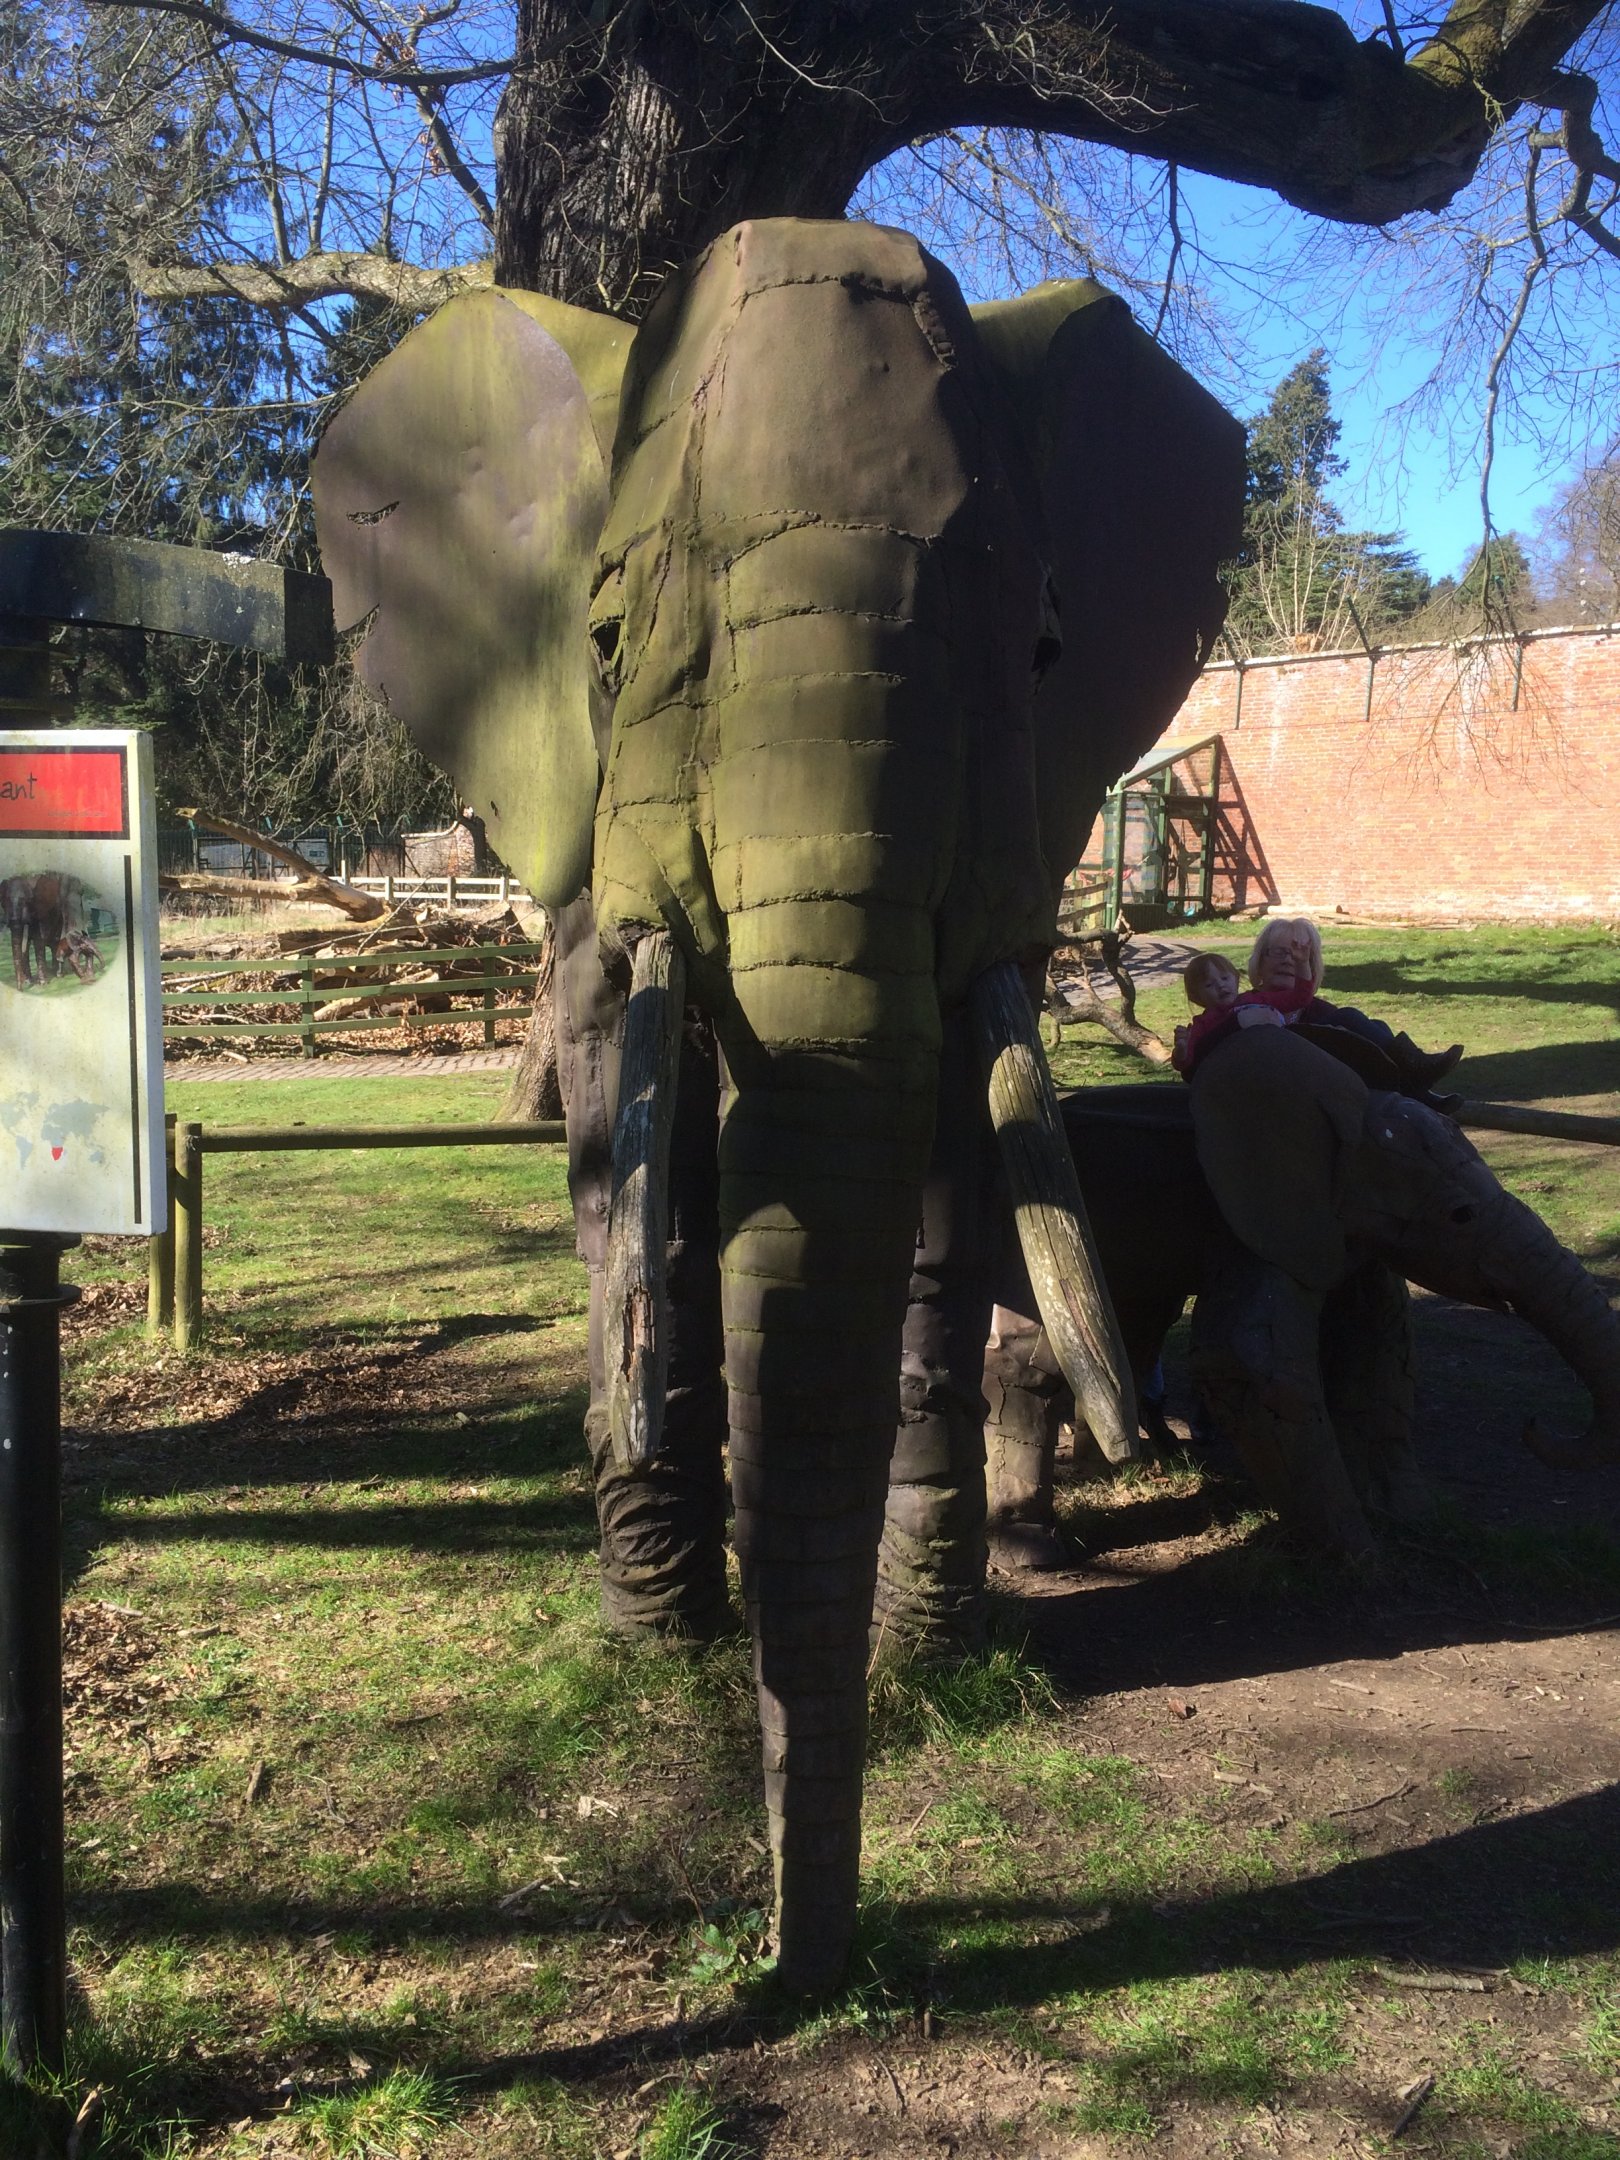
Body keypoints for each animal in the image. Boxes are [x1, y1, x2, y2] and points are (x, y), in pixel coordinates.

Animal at [311, 217, 1245, 1990]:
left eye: (1042, 649)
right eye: (606, 643)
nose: (794, 1972)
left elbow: (947, 1189)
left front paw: (929, 1650)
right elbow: (638, 1183)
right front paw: (664, 1644)